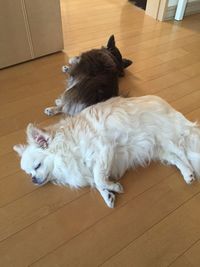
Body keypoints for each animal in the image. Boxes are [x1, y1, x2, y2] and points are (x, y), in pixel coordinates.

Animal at [13, 97, 200, 209]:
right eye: (29, 173)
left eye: (37, 166)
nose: (33, 180)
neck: (67, 148)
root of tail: (170, 108)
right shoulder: (90, 168)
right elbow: (97, 181)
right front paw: (108, 194)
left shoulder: (104, 148)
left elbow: (98, 178)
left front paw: (113, 187)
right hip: (159, 149)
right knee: (176, 158)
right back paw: (187, 174)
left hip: (168, 138)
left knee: (183, 153)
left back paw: (190, 171)